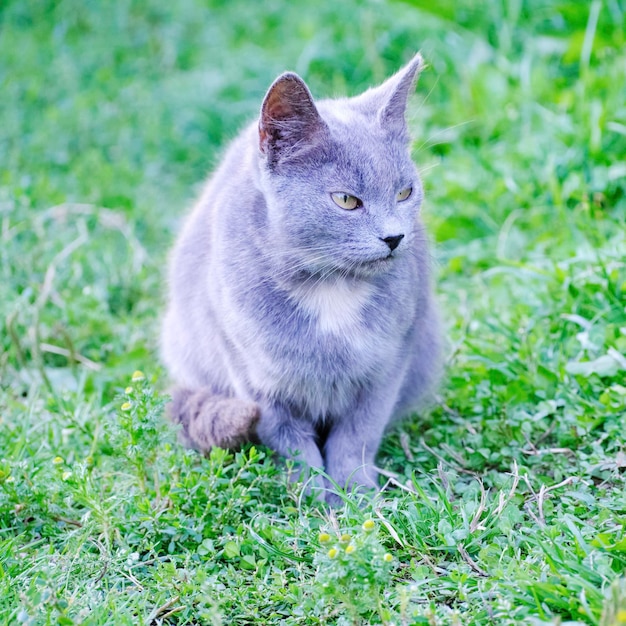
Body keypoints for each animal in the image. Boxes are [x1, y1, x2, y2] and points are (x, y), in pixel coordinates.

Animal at [163, 54, 442, 498]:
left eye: (405, 193)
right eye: (346, 200)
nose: (395, 237)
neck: (332, 287)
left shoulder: (391, 360)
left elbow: (358, 434)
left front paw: (356, 495)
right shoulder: (256, 378)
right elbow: (291, 444)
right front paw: (312, 499)